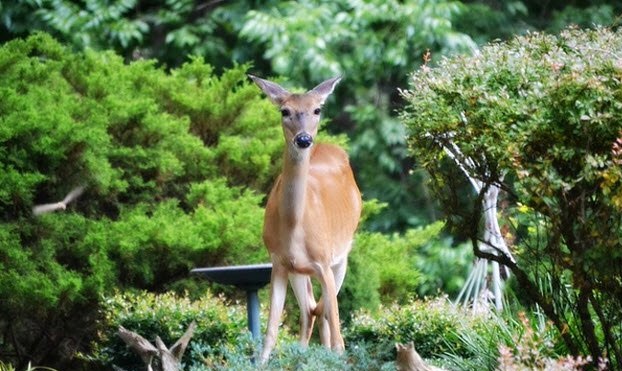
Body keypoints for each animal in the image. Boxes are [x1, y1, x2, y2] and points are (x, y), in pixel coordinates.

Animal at [249, 75, 364, 364]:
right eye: (284, 111)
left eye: (317, 110)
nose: (303, 139)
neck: (294, 226)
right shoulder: (279, 262)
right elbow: (270, 333)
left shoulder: (323, 262)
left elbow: (338, 335)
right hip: (299, 271)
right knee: (310, 310)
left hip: (341, 256)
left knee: (323, 314)